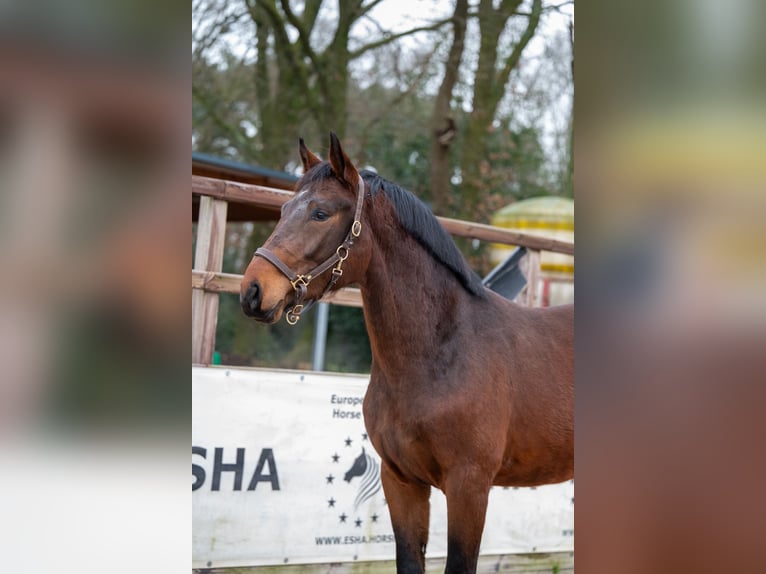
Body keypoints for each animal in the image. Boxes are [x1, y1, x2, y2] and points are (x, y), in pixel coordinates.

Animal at [242, 134, 576, 574]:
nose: (252, 291)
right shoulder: (401, 481)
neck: (438, 352)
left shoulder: (469, 485)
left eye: (320, 212)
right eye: (282, 210)